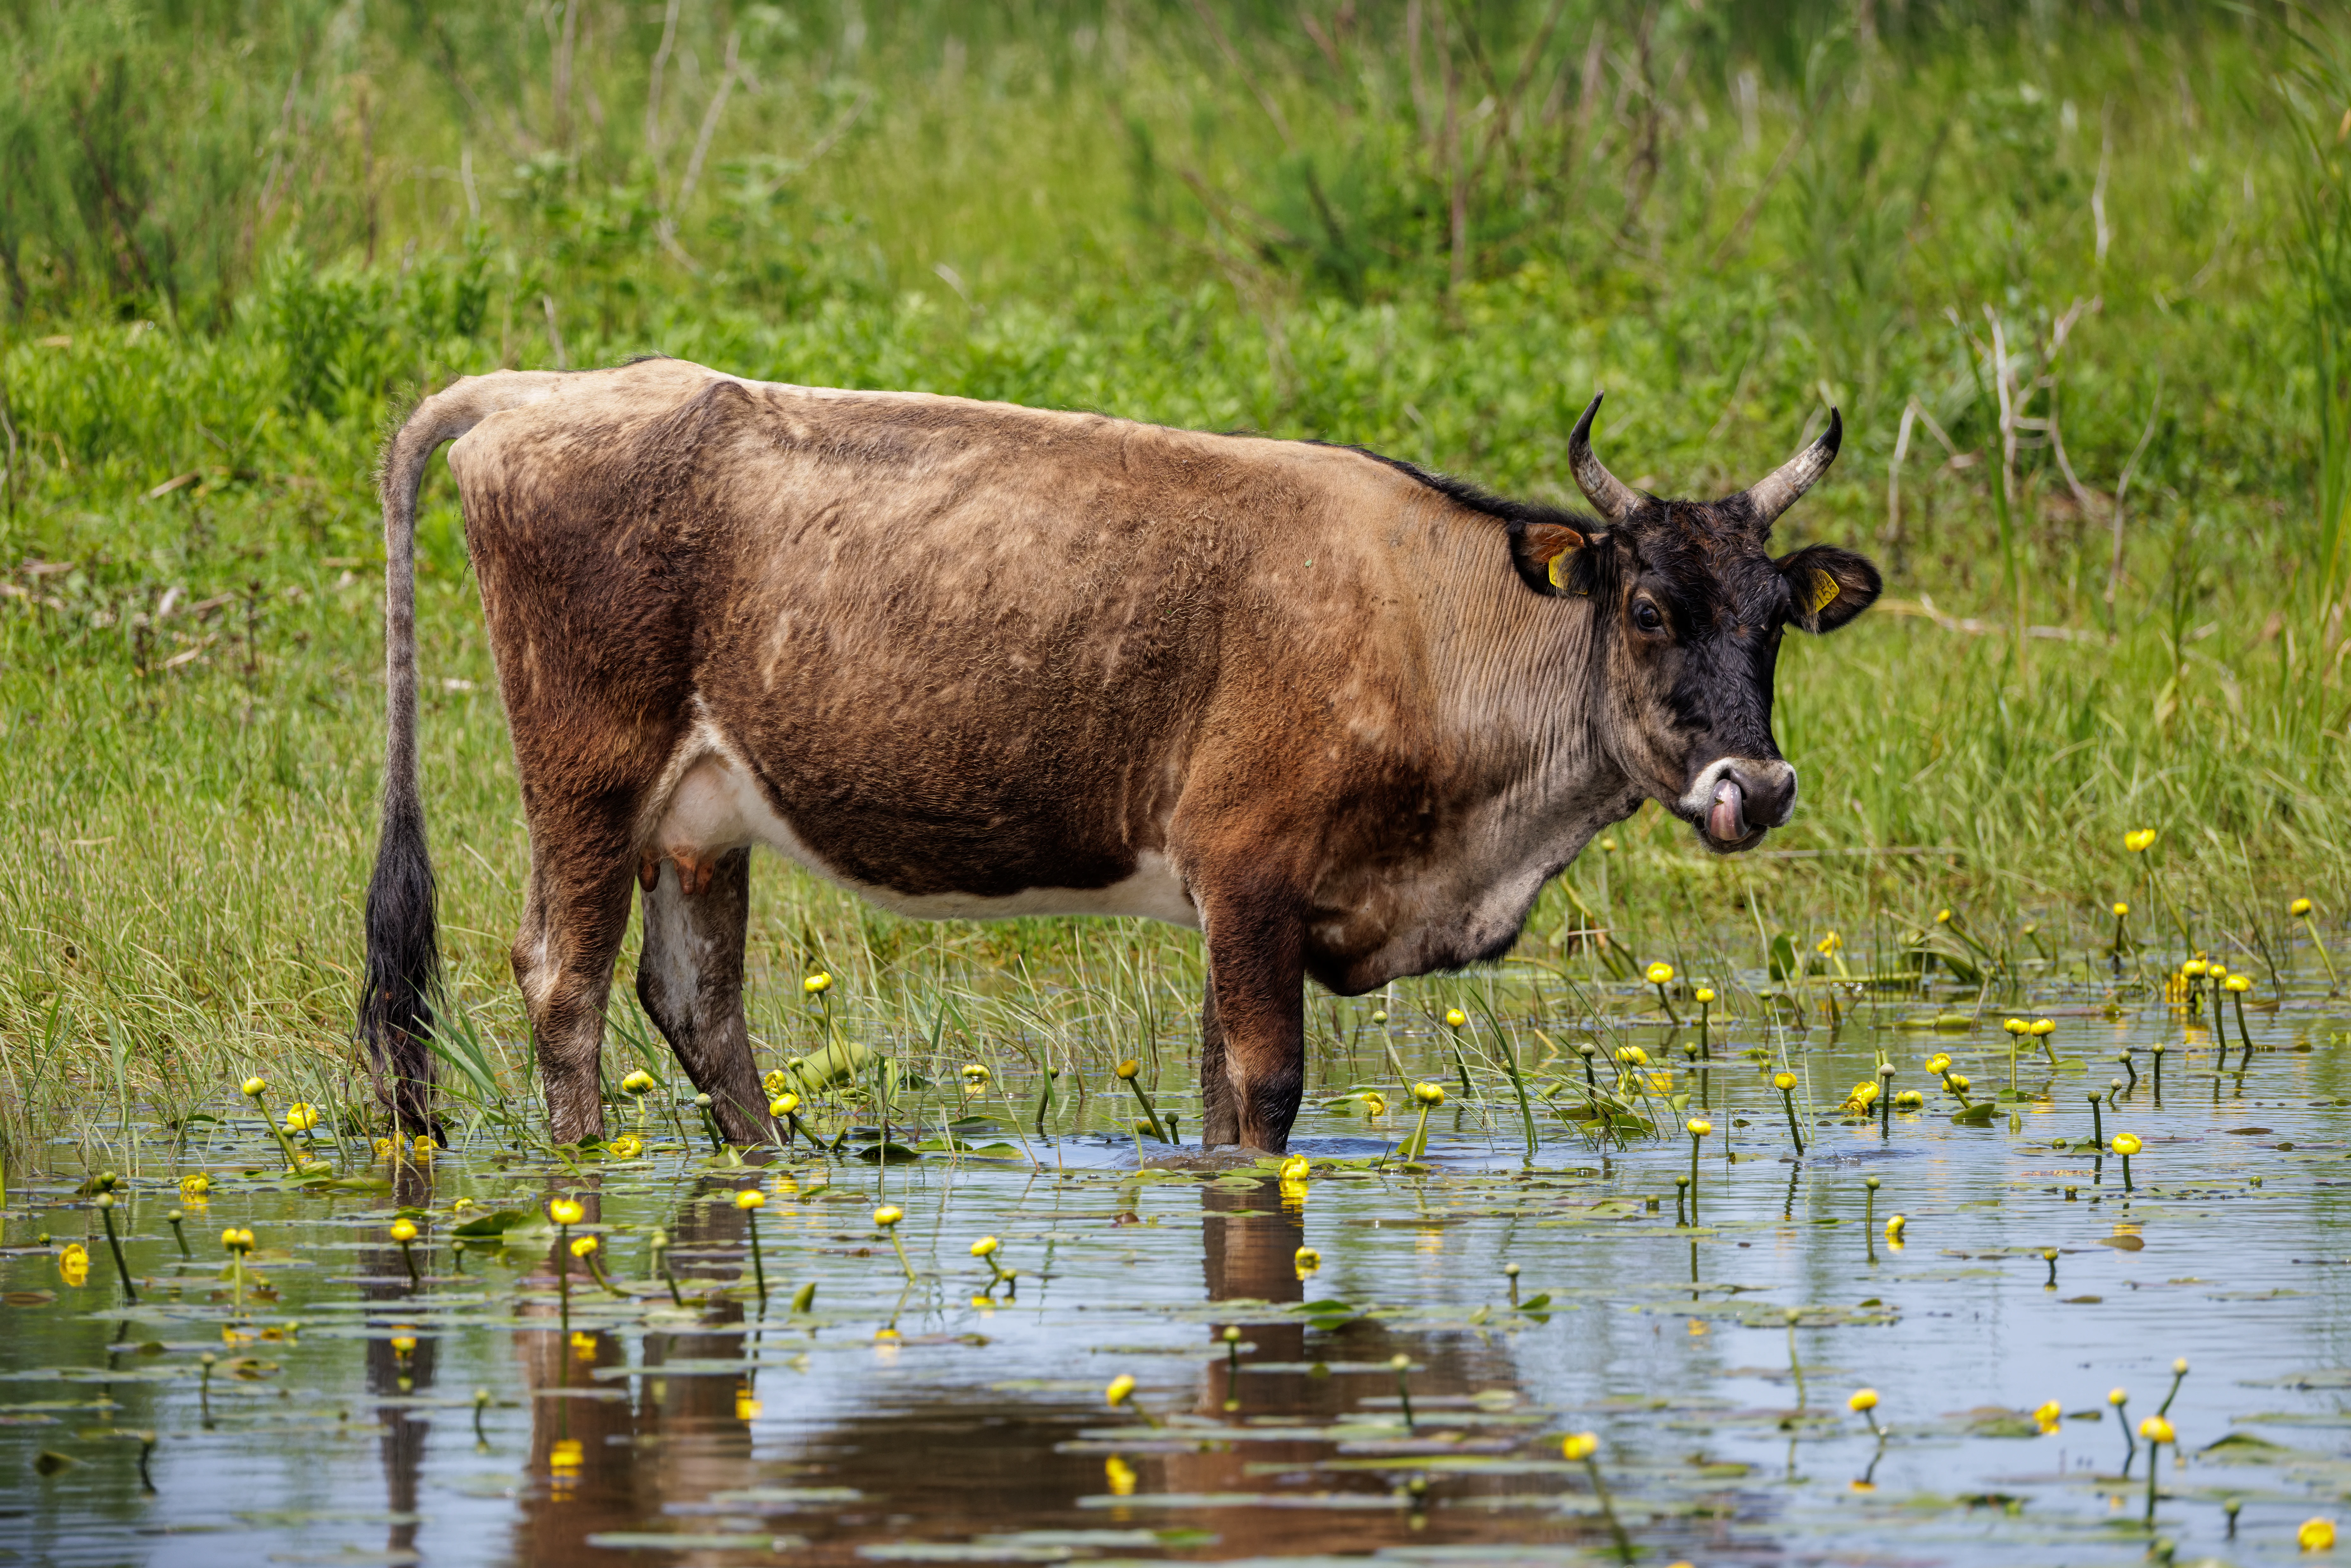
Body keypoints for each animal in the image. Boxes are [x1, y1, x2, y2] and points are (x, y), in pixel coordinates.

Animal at [359, 358, 1878, 1154]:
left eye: (1773, 621)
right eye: (1645, 609)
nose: (1755, 784)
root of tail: (539, 391)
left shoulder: (1237, 906)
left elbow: (1216, 1095)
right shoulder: (1250, 870)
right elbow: (1265, 1088)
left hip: (699, 812)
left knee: (695, 1000)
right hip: (586, 772)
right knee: (564, 980)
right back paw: (583, 1184)